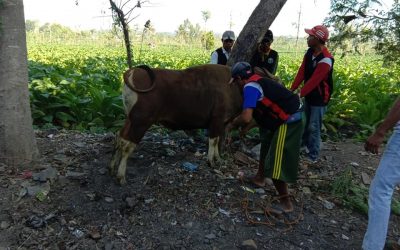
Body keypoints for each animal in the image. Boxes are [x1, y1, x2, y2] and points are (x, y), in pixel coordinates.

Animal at [108, 63, 242, 185]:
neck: (234, 85)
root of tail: (133, 72)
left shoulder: (221, 124)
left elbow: (217, 140)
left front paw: (218, 159)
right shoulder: (216, 120)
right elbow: (213, 141)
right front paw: (211, 162)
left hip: (130, 119)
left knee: (119, 137)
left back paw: (112, 168)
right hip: (141, 122)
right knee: (127, 145)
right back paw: (121, 176)